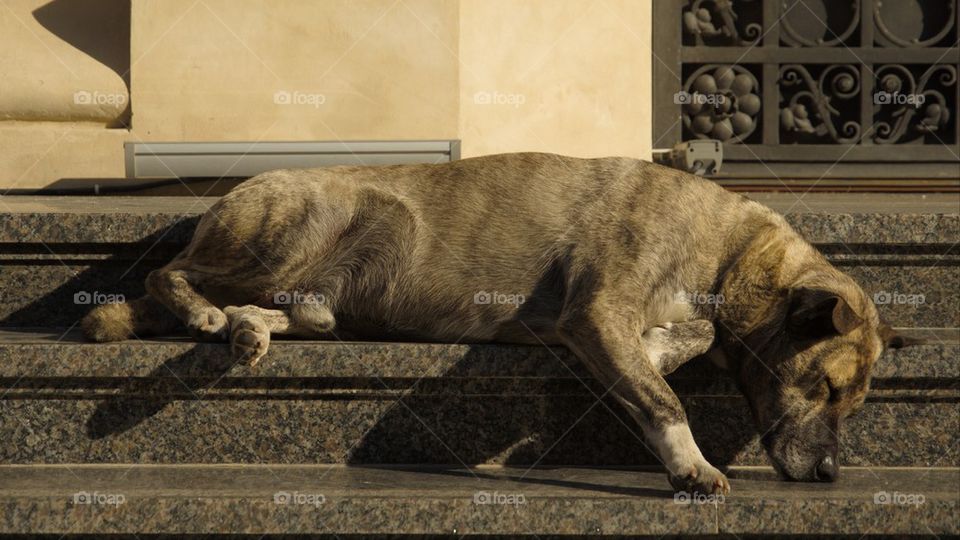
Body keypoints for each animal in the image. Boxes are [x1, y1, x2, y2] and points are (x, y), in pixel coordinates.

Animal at [82, 152, 908, 494]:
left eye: (853, 402)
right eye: (826, 388)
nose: (831, 475)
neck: (730, 249)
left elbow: (684, 343)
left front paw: (664, 347)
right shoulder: (596, 309)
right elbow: (663, 399)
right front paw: (690, 464)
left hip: (323, 286)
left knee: (281, 311)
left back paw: (249, 330)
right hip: (308, 227)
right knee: (167, 275)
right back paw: (201, 308)